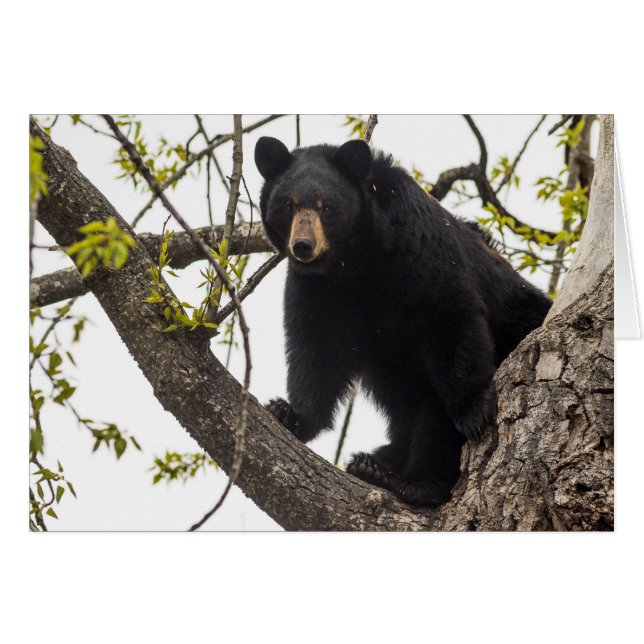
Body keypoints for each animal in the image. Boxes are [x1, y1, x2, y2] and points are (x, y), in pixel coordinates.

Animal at [255, 135, 552, 506]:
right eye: (289, 205)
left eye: (326, 207)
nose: (303, 246)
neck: (356, 262)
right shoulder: (320, 289)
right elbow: (318, 347)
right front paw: (290, 414)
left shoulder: (417, 247)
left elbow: (448, 317)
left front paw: (472, 411)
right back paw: (375, 464)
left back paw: (414, 481)